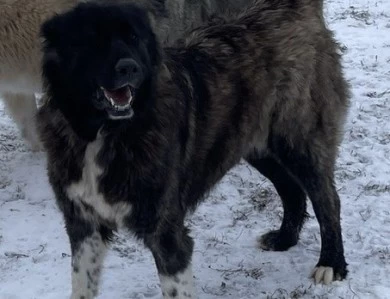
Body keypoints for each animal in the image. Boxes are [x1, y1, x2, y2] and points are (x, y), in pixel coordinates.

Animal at [38, 0, 350, 298]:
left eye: (134, 38)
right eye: (93, 39)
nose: (129, 68)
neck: (106, 133)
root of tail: (292, 8)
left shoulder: (167, 235)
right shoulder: (84, 226)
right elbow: (82, 285)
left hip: (299, 142)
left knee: (327, 199)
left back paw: (331, 263)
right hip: (255, 146)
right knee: (292, 190)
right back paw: (285, 238)